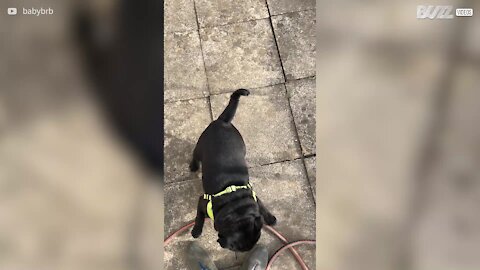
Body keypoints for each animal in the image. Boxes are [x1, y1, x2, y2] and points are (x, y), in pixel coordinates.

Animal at [189, 89, 276, 252]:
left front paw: (269, 218)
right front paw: (196, 231)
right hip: (199, 147)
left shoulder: (254, 195)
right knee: (195, 156)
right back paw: (193, 166)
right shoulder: (202, 201)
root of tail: (223, 121)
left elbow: (261, 205)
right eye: (235, 248)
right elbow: (199, 217)